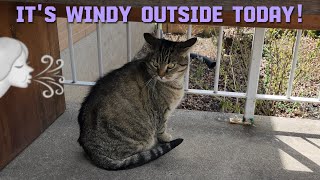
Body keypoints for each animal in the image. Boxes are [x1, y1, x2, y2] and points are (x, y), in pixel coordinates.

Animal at [78, 32, 198, 170]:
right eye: (155, 64)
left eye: (171, 66)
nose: (161, 75)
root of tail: (91, 150)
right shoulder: (162, 112)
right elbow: (162, 128)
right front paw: (165, 137)